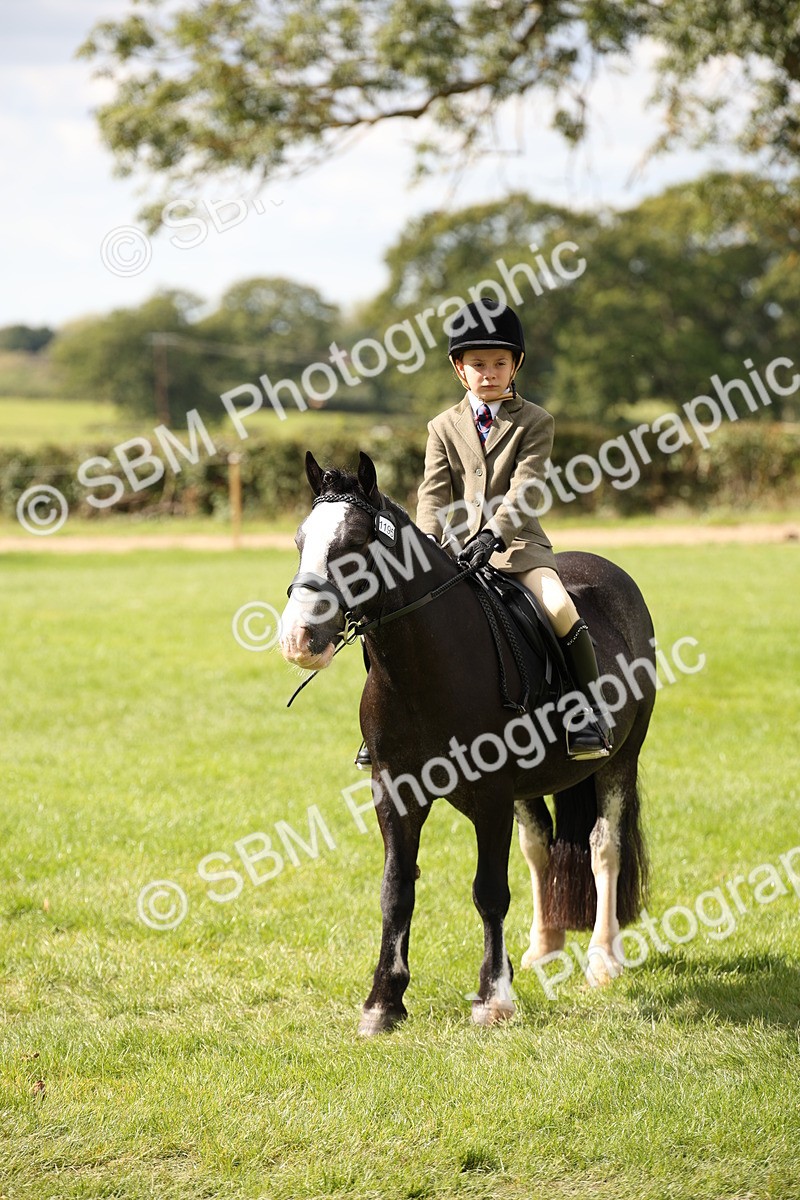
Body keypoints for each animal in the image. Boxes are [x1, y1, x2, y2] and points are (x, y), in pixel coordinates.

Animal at [280, 451, 656, 1035]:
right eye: (301, 540)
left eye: (355, 543)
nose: (299, 639)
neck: (423, 668)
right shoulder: (394, 791)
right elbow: (396, 890)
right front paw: (383, 1003)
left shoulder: (491, 792)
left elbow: (489, 891)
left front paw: (493, 998)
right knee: (540, 847)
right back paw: (542, 949)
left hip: (620, 761)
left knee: (604, 848)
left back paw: (603, 960)